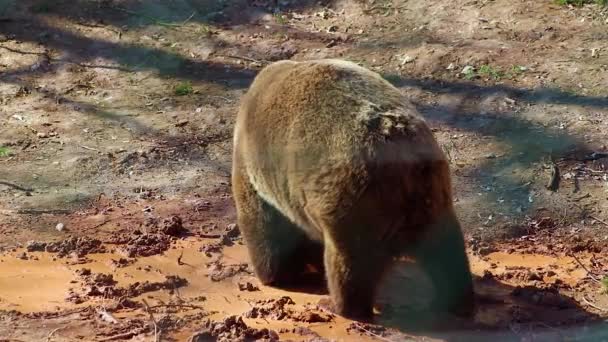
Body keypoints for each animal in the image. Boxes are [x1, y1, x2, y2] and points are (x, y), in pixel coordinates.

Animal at [230, 59, 472, 320]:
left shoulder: (255, 167)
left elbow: (263, 225)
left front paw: (275, 274)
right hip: (433, 194)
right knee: (446, 249)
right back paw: (457, 301)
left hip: (354, 196)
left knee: (350, 261)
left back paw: (336, 304)